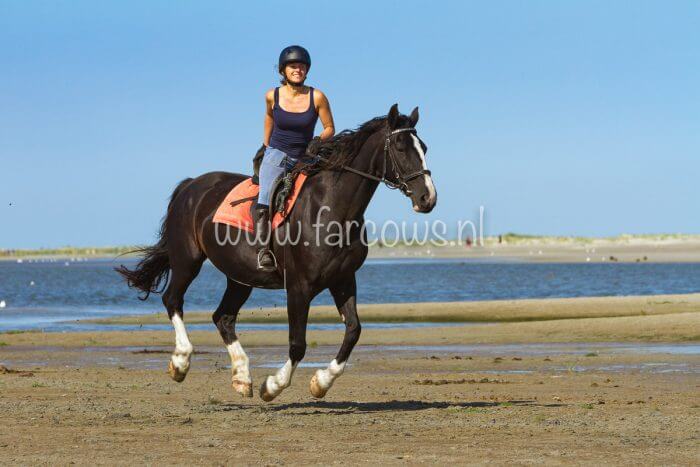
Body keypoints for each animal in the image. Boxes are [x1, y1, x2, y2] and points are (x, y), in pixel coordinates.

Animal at [118, 104, 438, 400]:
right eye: (400, 146)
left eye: (423, 148)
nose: (428, 198)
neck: (331, 208)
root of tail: (190, 186)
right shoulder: (298, 286)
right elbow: (298, 344)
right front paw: (272, 386)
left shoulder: (343, 280)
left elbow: (353, 331)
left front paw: (320, 382)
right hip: (188, 260)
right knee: (173, 300)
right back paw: (181, 363)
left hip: (240, 277)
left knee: (223, 317)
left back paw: (242, 377)